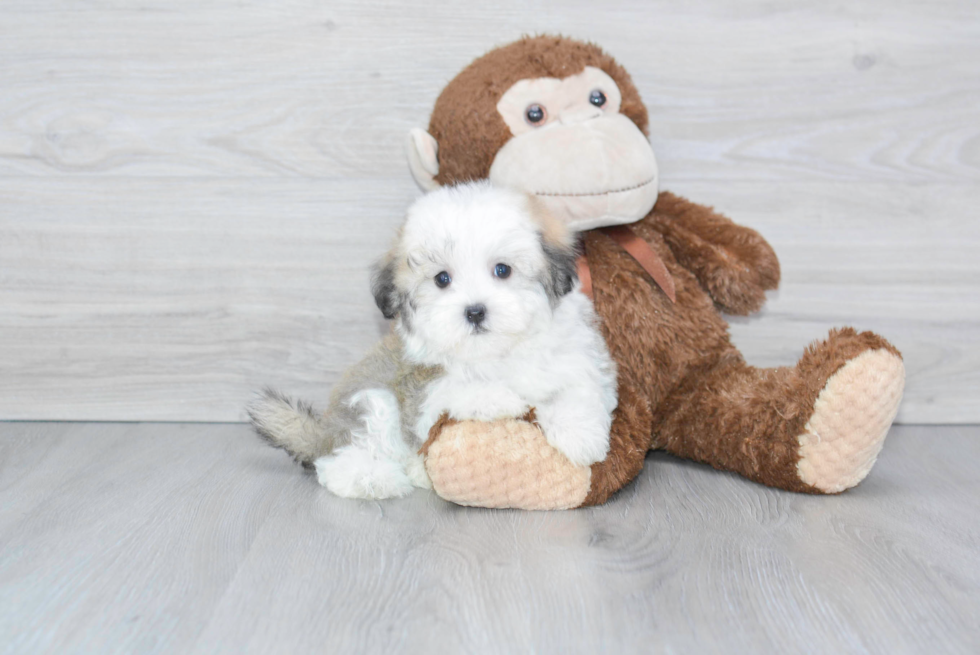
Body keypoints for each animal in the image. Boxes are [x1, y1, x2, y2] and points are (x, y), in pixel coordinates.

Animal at [249, 182, 616, 500]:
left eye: (502, 270)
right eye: (442, 279)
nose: (475, 311)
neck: (495, 353)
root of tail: (323, 432)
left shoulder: (576, 354)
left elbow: (578, 387)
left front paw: (581, 434)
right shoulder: (421, 387)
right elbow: (456, 390)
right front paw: (501, 397)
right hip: (371, 401)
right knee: (345, 454)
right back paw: (371, 477)